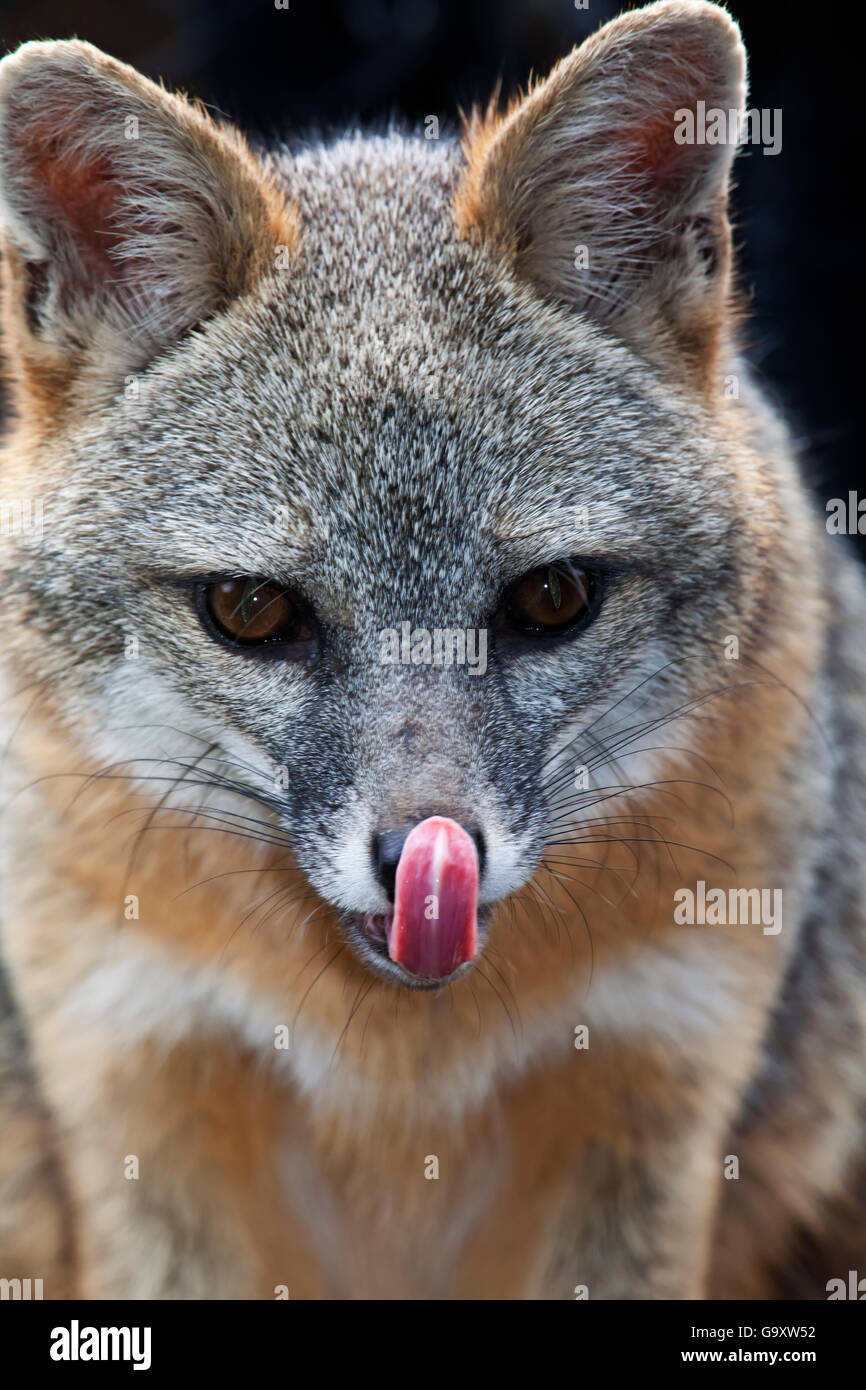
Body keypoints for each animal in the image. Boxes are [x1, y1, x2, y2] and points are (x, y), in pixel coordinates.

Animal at [0, 2, 861, 1301]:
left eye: (551, 598)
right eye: (250, 611)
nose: (425, 861)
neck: (398, 1071)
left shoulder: (652, 1093)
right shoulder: (137, 1085)